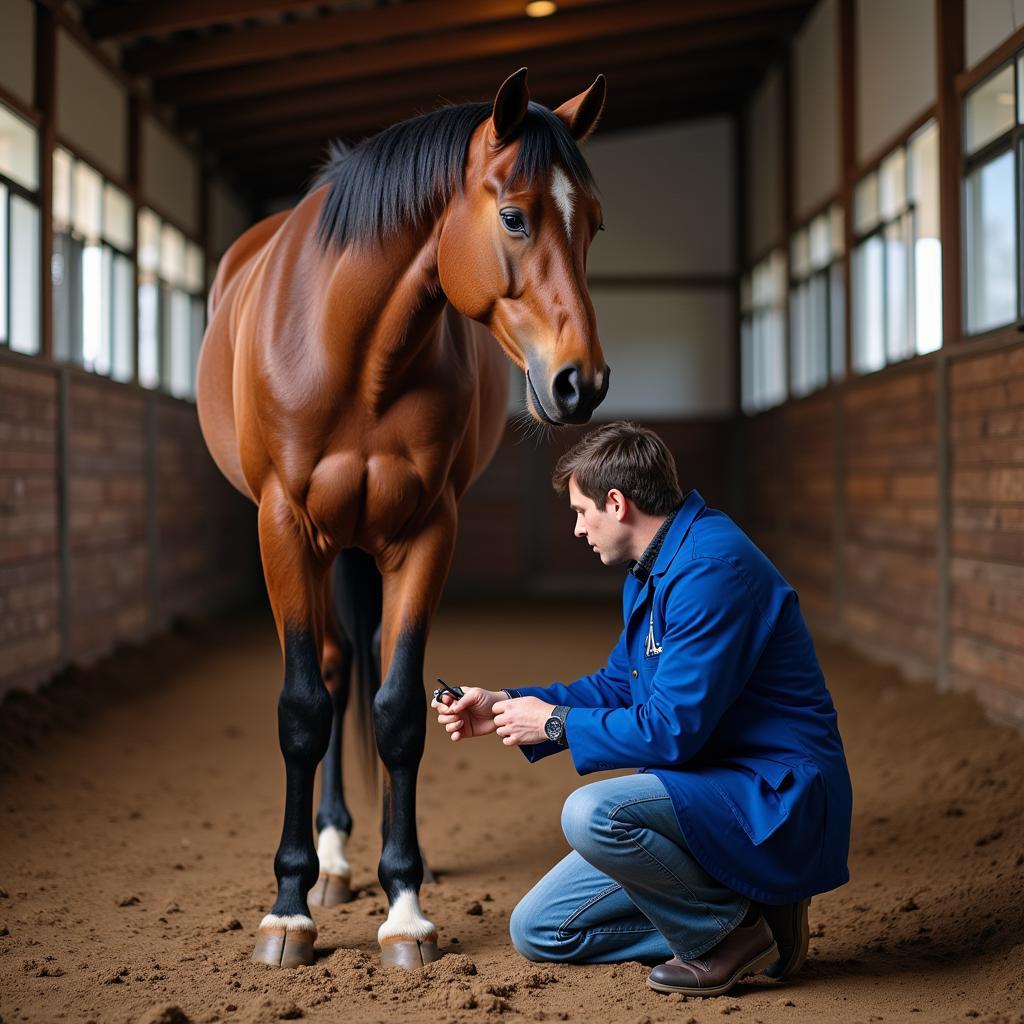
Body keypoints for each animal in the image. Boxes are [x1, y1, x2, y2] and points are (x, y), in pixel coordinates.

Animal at [193, 70, 606, 966]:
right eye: (514, 216)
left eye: (594, 222)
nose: (580, 384)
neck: (354, 350)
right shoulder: (283, 527)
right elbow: (304, 709)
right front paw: (288, 909)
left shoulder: (425, 533)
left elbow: (399, 711)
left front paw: (406, 907)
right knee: (333, 670)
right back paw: (331, 861)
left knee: (373, 666)